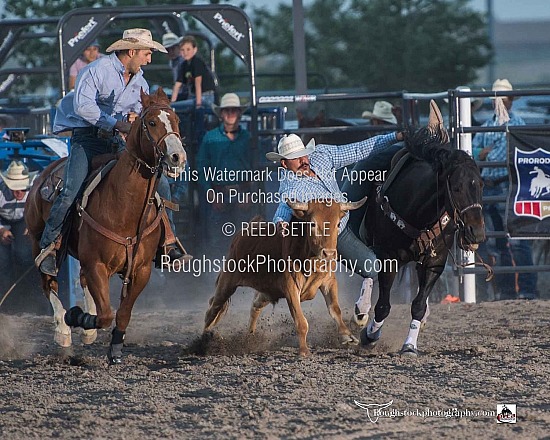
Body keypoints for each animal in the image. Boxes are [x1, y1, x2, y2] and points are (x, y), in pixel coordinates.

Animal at [25, 87, 188, 362]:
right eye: (151, 122)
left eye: (176, 120)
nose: (178, 157)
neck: (124, 207)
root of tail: (43, 175)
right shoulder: (97, 264)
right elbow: (105, 314)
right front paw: (76, 317)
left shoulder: (141, 270)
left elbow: (121, 313)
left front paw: (115, 347)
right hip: (38, 241)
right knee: (48, 282)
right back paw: (63, 331)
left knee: (80, 280)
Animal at [358, 104, 488, 358]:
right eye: (456, 187)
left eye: (480, 184)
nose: (476, 233)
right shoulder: (388, 257)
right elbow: (383, 306)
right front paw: (370, 336)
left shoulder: (434, 262)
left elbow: (417, 305)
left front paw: (409, 345)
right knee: (367, 271)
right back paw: (361, 309)